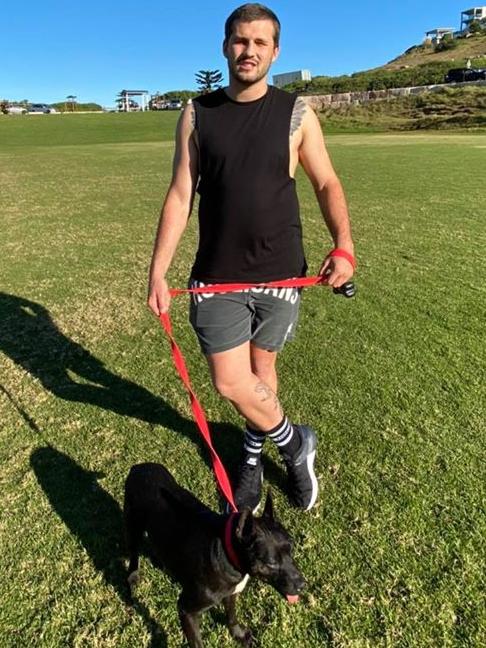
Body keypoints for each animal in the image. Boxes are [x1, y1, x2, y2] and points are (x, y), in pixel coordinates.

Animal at [124, 464, 304, 644]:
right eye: (271, 563)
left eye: (291, 550)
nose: (303, 585)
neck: (227, 553)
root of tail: (139, 467)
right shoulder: (187, 610)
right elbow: (197, 642)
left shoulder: (231, 594)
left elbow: (231, 616)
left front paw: (238, 635)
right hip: (133, 525)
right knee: (133, 552)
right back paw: (133, 578)